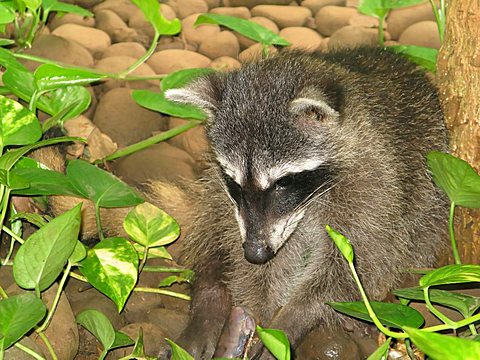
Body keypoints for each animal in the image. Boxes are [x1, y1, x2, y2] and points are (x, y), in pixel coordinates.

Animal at [164, 47, 450, 358]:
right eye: (235, 182)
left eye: (284, 182)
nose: (255, 253)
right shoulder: (237, 206)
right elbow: (246, 258)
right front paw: (254, 309)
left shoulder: (375, 186)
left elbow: (351, 266)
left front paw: (289, 321)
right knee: (212, 219)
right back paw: (210, 292)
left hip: (426, 209)